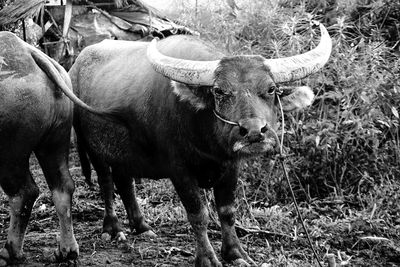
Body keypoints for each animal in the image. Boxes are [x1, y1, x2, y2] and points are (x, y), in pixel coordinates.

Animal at [0, 31, 99, 266]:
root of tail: (29, 54)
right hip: (55, 141)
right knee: (63, 187)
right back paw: (67, 250)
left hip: (9, 153)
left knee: (23, 192)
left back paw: (10, 252)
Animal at [69, 24, 332, 266]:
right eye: (219, 91)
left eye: (270, 88)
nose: (254, 131)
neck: (207, 139)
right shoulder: (179, 170)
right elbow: (198, 214)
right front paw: (207, 257)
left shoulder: (231, 166)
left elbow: (227, 212)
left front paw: (236, 253)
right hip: (92, 147)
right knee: (106, 183)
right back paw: (113, 228)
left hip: (122, 151)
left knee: (125, 183)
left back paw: (142, 226)